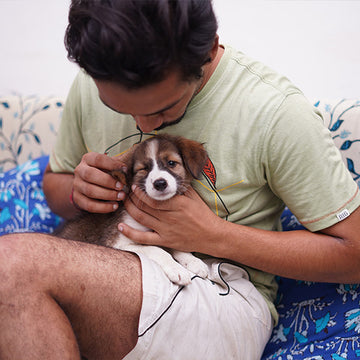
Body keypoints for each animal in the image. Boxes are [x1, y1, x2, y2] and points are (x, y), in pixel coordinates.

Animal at [54, 134, 210, 286]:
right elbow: (157, 249)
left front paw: (193, 261)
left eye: (171, 163)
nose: (160, 183)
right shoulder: (118, 242)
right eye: (143, 169)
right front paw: (176, 269)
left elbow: (177, 245)